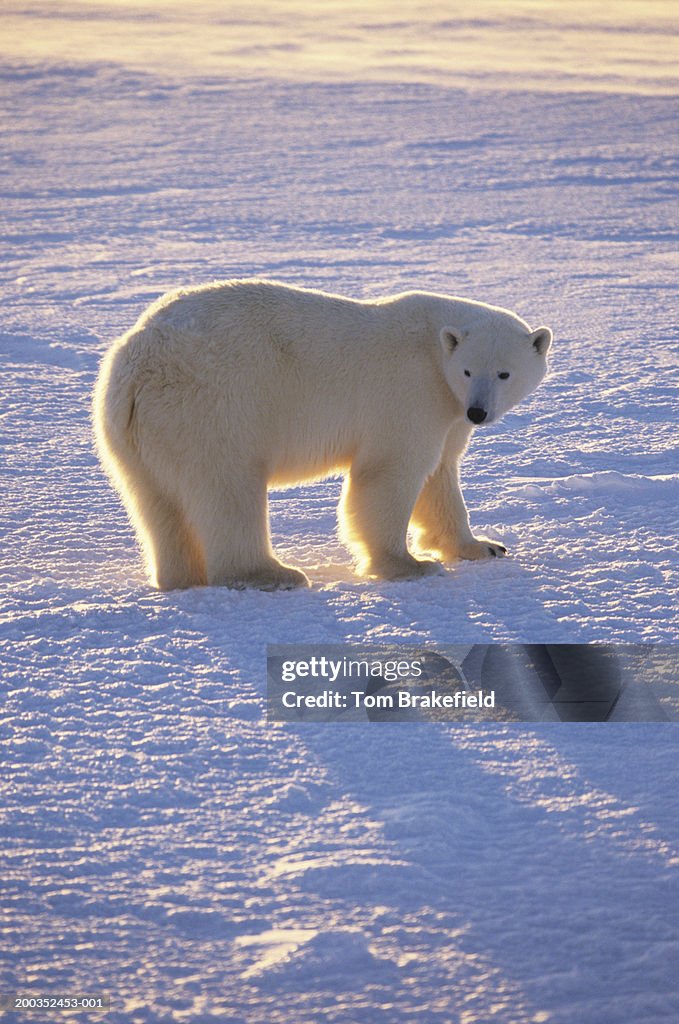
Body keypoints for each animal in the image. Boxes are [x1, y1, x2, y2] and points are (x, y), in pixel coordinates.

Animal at [93, 278, 553, 593]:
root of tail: (138, 366)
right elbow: (390, 473)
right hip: (213, 410)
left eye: (504, 373)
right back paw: (273, 574)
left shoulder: (447, 413)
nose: (479, 412)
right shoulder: (409, 392)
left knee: (156, 502)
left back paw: (180, 577)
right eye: (469, 370)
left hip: (136, 434)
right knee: (228, 491)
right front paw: (409, 565)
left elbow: (440, 476)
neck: (435, 352)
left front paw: (484, 546)